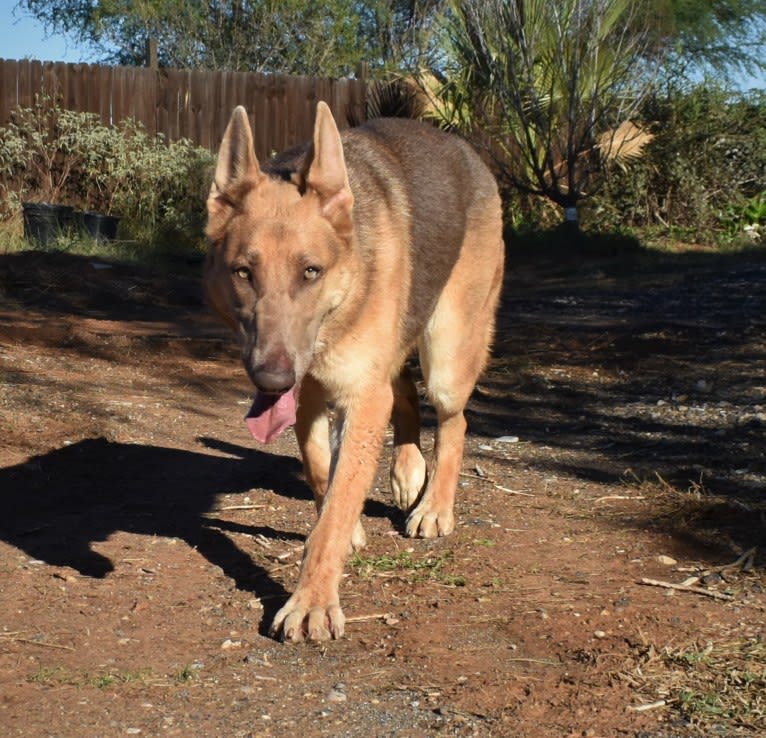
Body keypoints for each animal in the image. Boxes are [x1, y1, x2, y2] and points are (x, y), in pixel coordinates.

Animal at [204, 100, 508, 640]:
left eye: (311, 271)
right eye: (243, 272)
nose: (271, 380)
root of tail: (463, 147)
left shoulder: (360, 398)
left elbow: (341, 497)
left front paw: (312, 600)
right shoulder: (310, 395)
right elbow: (320, 468)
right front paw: (342, 524)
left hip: (447, 359)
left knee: (454, 420)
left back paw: (435, 506)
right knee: (403, 392)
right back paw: (407, 470)